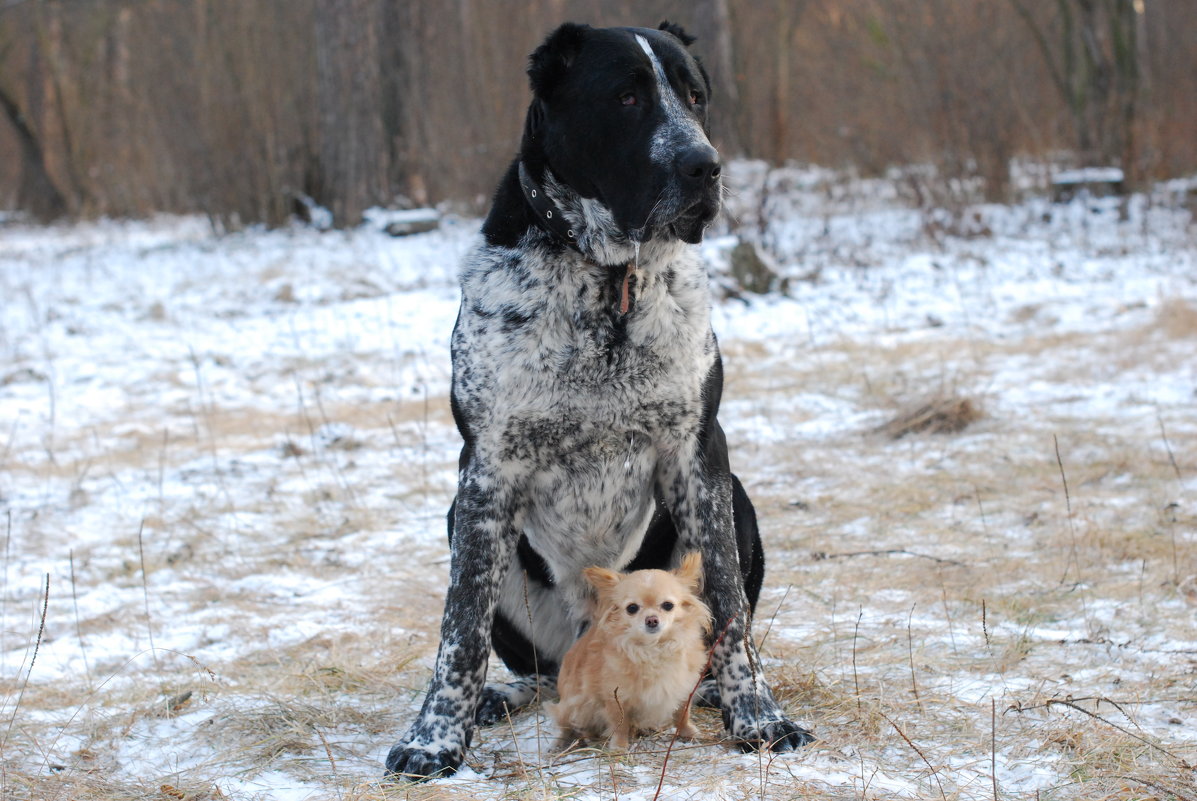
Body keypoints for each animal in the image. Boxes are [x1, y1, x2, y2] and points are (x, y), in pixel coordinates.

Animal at [383, 21, 813, 775]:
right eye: (626, 97)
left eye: (695, 96)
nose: (705, 166)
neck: (609, 280)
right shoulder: (486, 470)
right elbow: (459, 628)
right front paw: (433, 739)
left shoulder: (699, 455)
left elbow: (730, 607)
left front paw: (758, 716)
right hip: (467, 526)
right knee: (539, 672)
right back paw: (499, 697)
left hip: (736, 496)